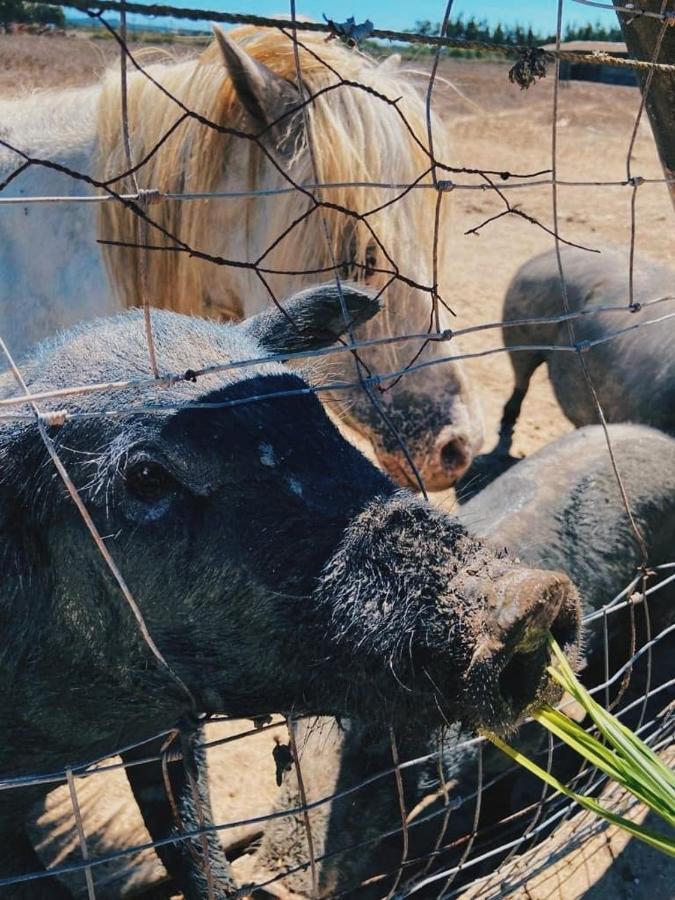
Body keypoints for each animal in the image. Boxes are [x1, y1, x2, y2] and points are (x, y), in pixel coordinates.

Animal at [0, 284, 580, 896]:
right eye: (146, 478)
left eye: (315, 416)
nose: (534, 597)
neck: (96, 731)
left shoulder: (170, 738)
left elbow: (194, 842)